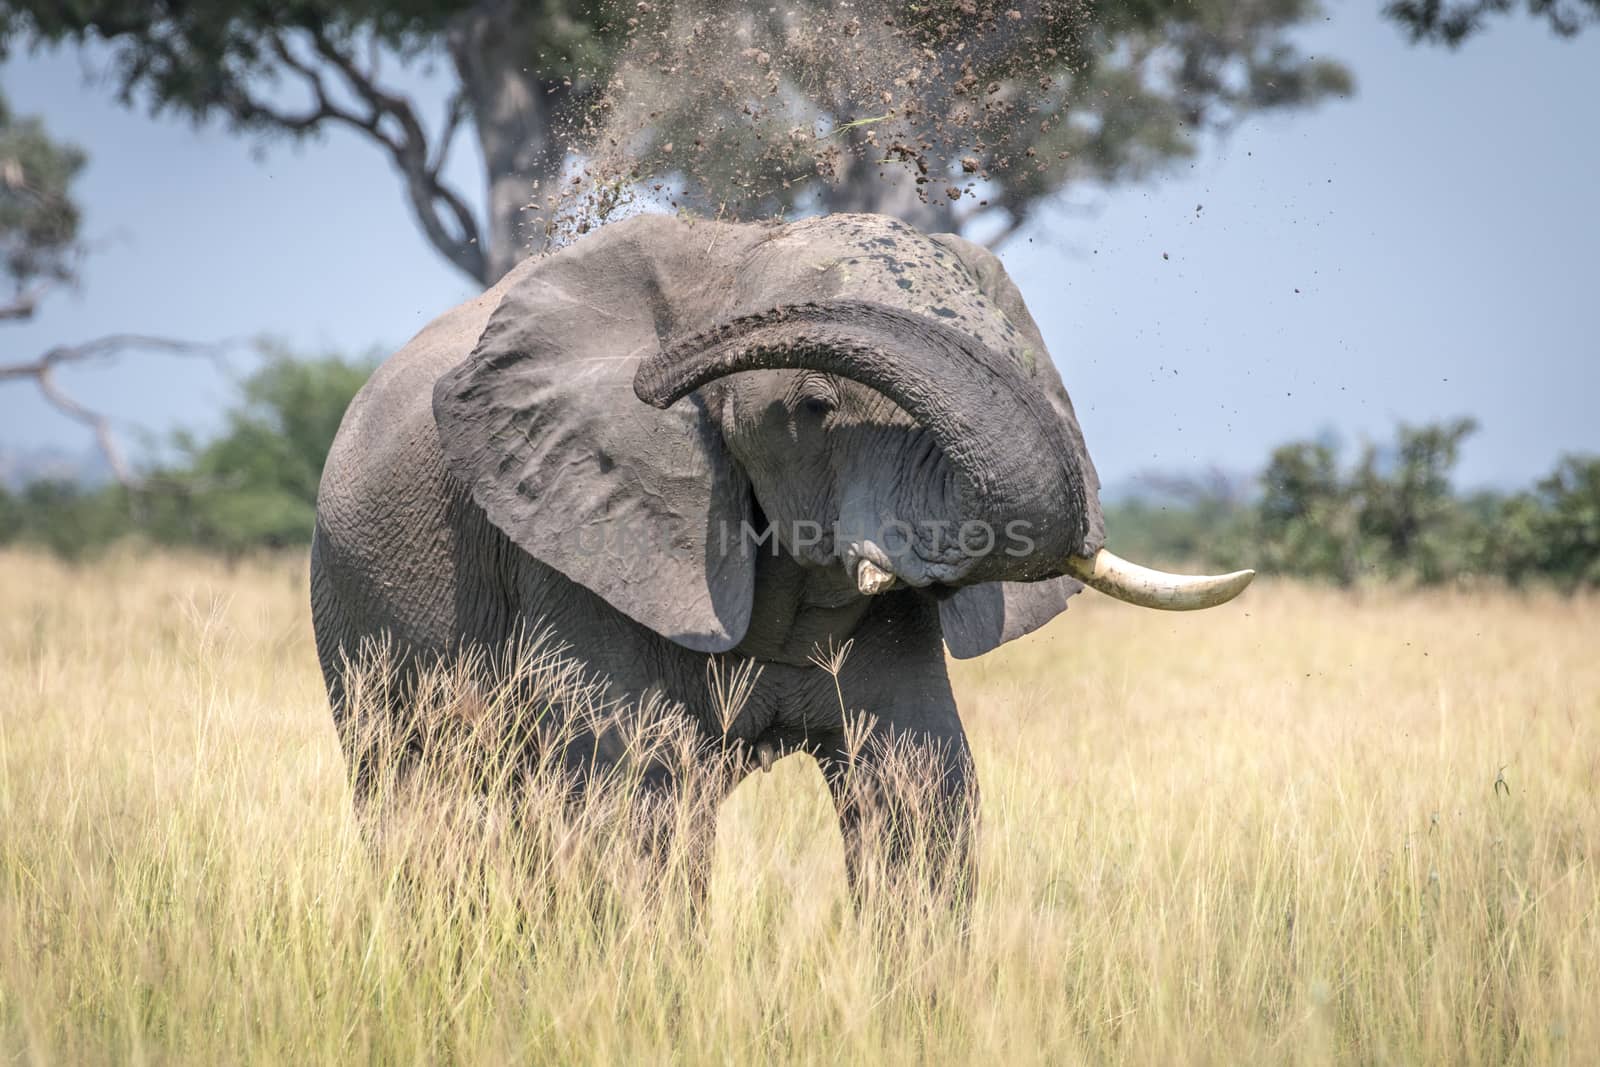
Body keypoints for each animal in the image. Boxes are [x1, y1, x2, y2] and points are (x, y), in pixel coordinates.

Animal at [308, 212, 1248, 895]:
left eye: (1015, 361)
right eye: (815, 410)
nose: (661, 375)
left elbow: (919, 785)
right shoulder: (572, 549)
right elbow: (635, 792)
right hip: (354, 612)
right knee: (420, 797)